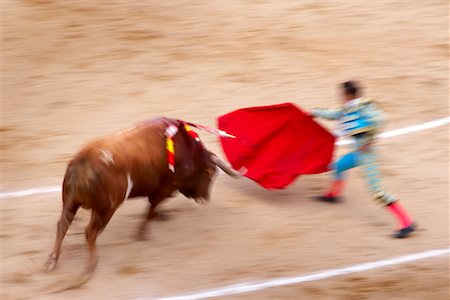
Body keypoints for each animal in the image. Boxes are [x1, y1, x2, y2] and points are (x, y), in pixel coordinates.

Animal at [44, 117, 237, 288]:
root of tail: (83, 162)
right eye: (210, 173)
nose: (205, 198)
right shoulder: (166, 188)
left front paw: (160, 217)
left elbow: (153, 208)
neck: (186, 148)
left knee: (63, 224)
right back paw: (90, 266)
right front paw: (143, 233)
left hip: (70, 201)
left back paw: (52, 260)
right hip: (106, 209)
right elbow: (151, 209)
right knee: (90, 233)